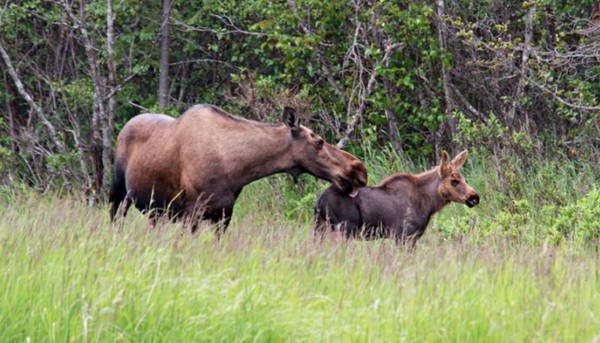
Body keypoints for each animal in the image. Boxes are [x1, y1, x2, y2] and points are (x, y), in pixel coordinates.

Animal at [110, 104, 368, 231]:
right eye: (319, 142)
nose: (359, 169)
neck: (236, 170)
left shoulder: (224, 214)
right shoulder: (191, 212)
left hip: (156, 211)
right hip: (119, 195)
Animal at [314, 150, 478, 247]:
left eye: (463, 179)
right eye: (454, 181)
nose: (475, 197)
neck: (429, 205)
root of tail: (319, 202)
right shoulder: (403, 235)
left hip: (320, 226)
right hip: (344, 228)